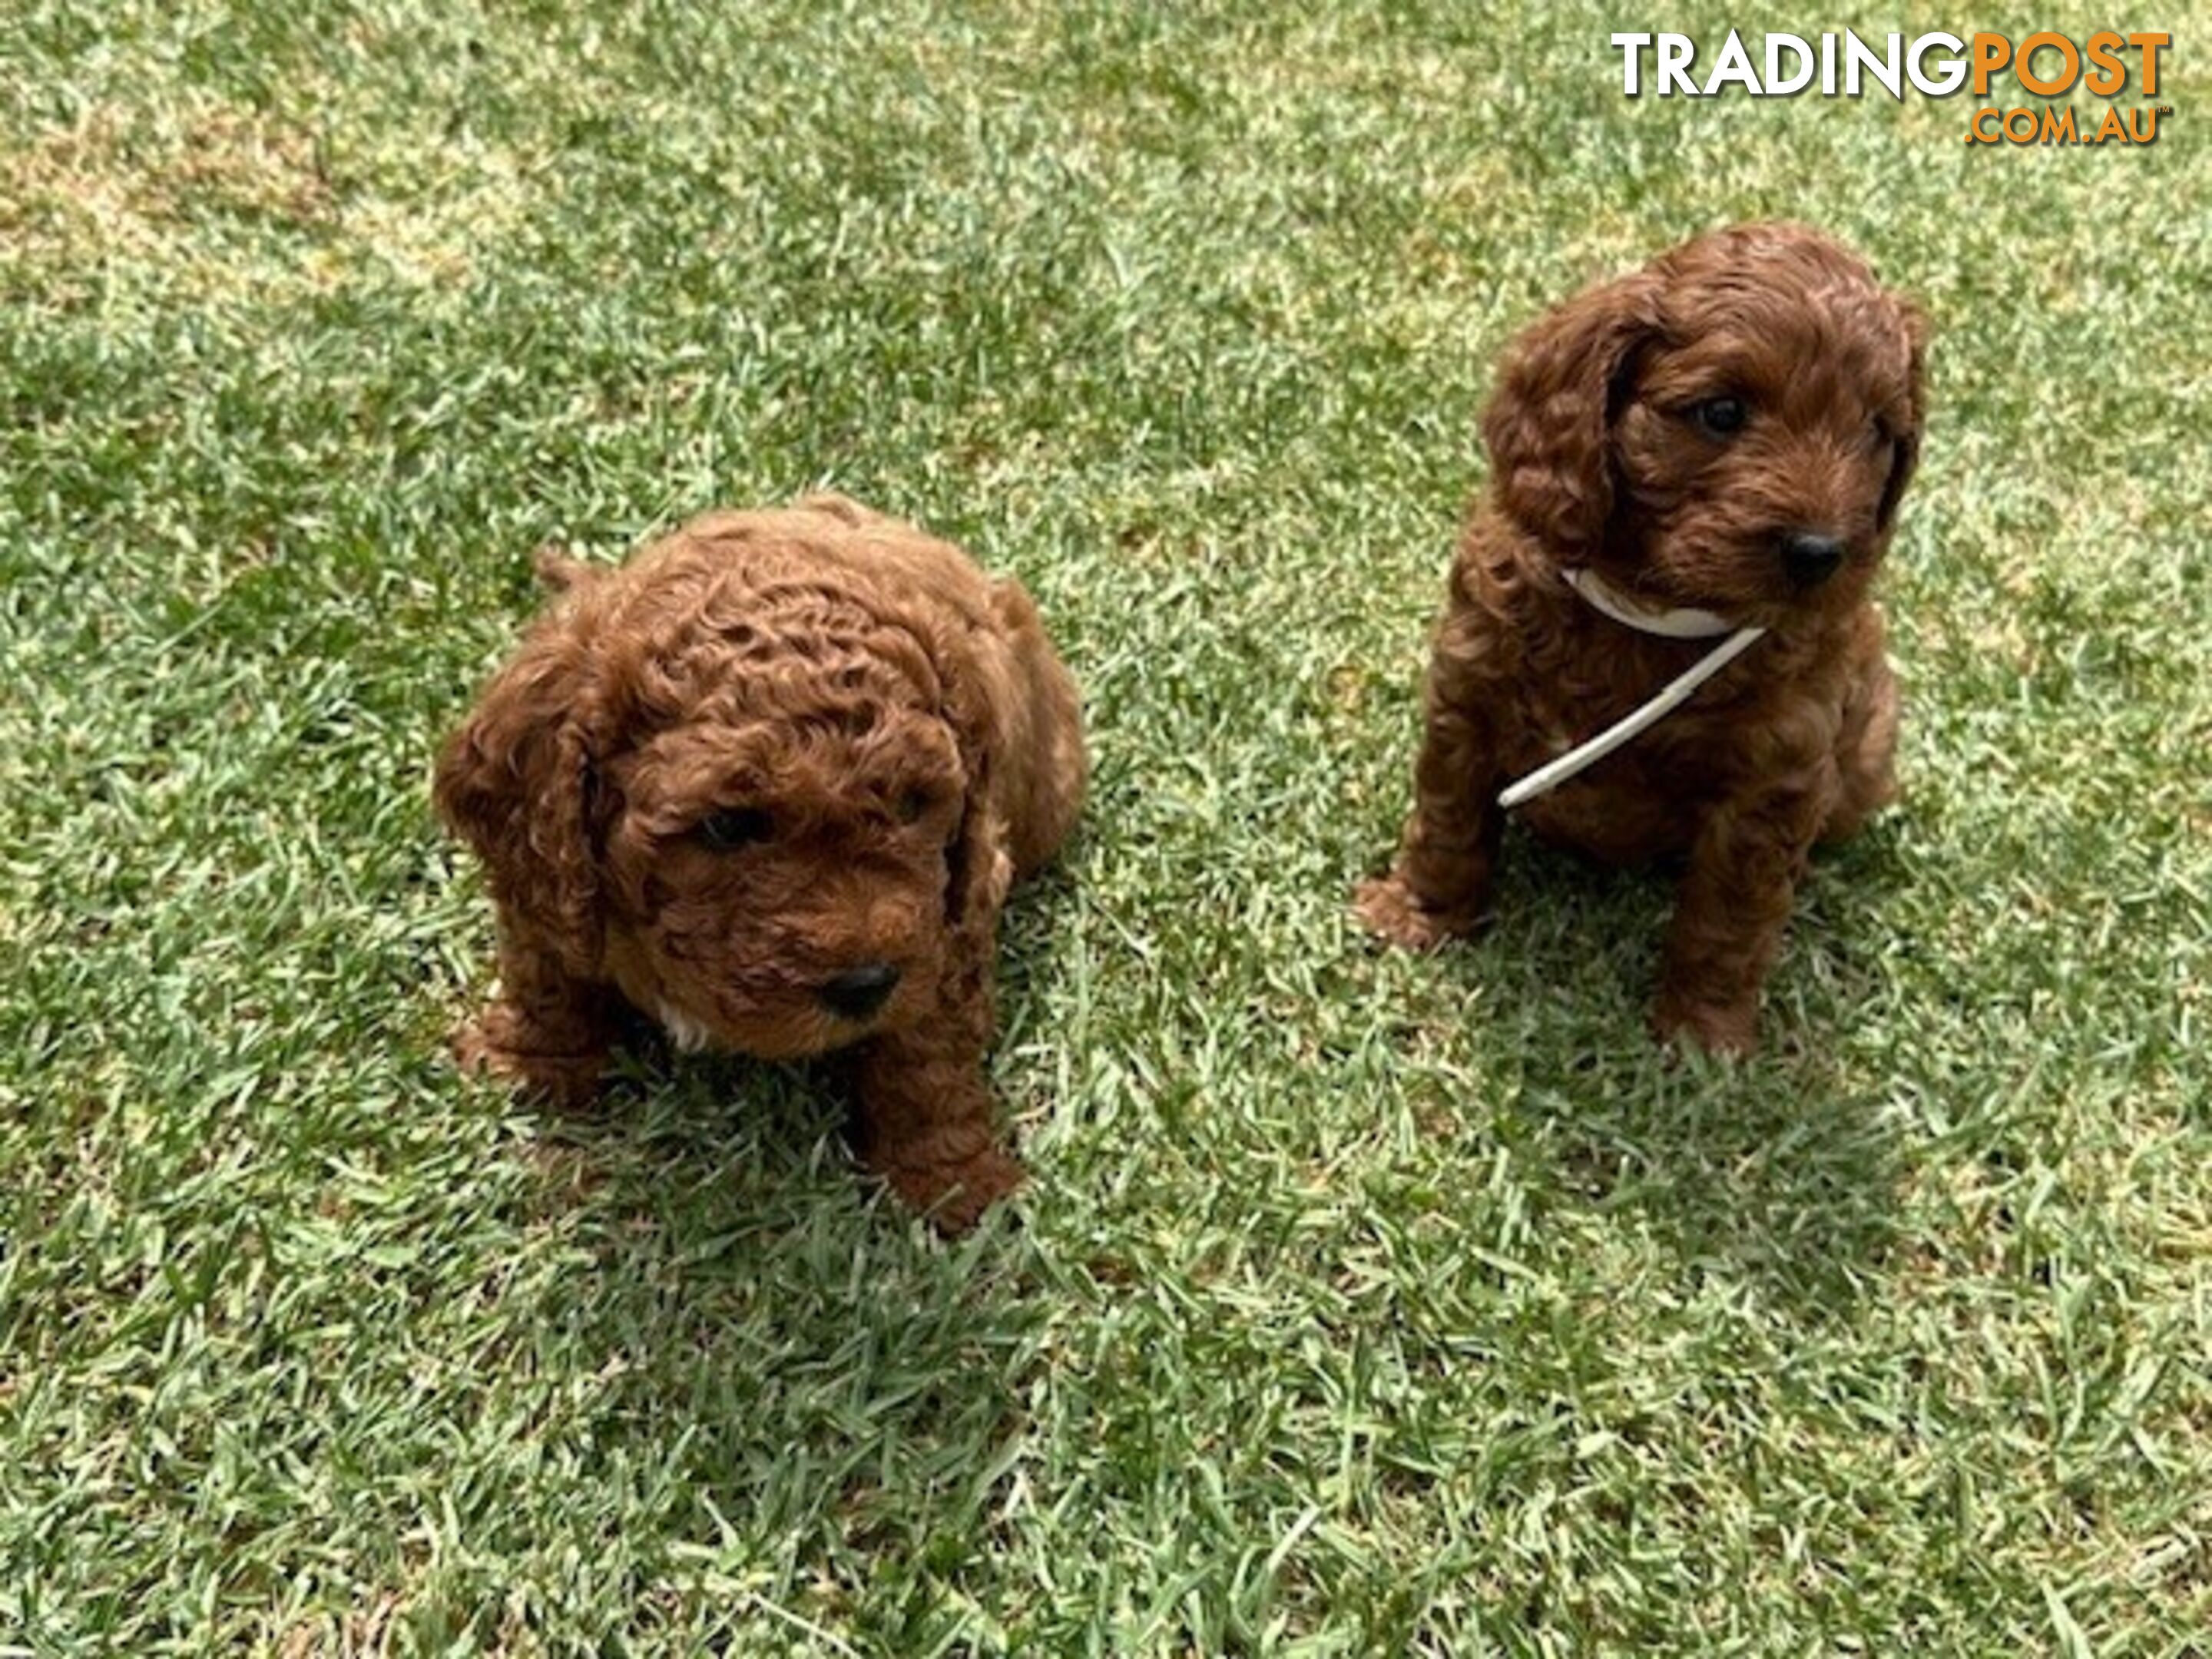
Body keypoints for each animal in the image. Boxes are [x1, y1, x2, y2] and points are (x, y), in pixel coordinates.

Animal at [433, 493, 1088, 1238]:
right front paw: (529, 1061)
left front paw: (951, 1179)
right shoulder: (544, 874)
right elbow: (546, 968)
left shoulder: (954, 910)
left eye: (913, 805)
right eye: (726, 825)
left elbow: (927, 1052)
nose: (866, 984)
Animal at [1353, 224, 1929, 1052]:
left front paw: (1702, 1033)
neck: (1652, 607)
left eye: (1878, 433)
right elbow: (1448, 818)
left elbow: (1730, 915)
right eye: (1721, 412)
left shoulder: (1776, 778)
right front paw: (1419, 916)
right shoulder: (1469, 688)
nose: (1821, 554)